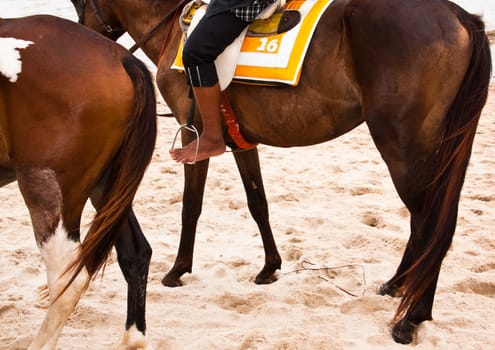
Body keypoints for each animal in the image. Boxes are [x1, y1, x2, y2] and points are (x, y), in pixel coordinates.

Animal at [72, 0, 492, 344]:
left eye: (79, 2)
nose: (85, 41)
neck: (174, 28)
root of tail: (458, 14)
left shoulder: (195, 137)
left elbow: (190, 207)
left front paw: (178, 270)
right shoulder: (243, 142)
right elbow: (258, 202)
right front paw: (269, 267)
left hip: (404, 148)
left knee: (429, 224)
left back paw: (411, 318)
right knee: (431, 224)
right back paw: (397, 286)